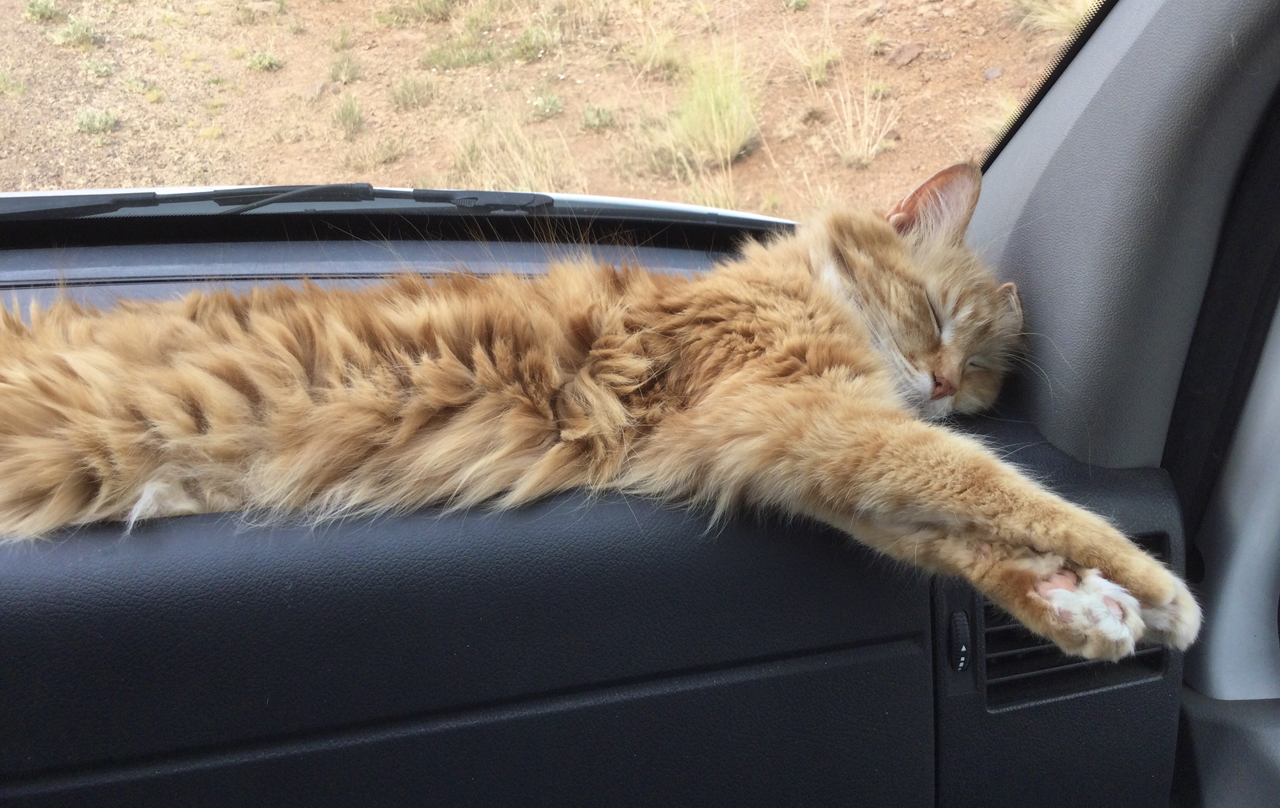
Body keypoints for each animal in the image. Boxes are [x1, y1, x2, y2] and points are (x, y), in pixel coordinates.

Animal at [0, 166, 1198, 665]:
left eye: (990, 372)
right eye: (937, 315)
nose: (949, 386)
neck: (797, 289)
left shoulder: (804, 447)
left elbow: (965, 537)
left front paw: (1081, 609)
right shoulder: (805, 411)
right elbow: (1018, 497)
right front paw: (1165, 595)